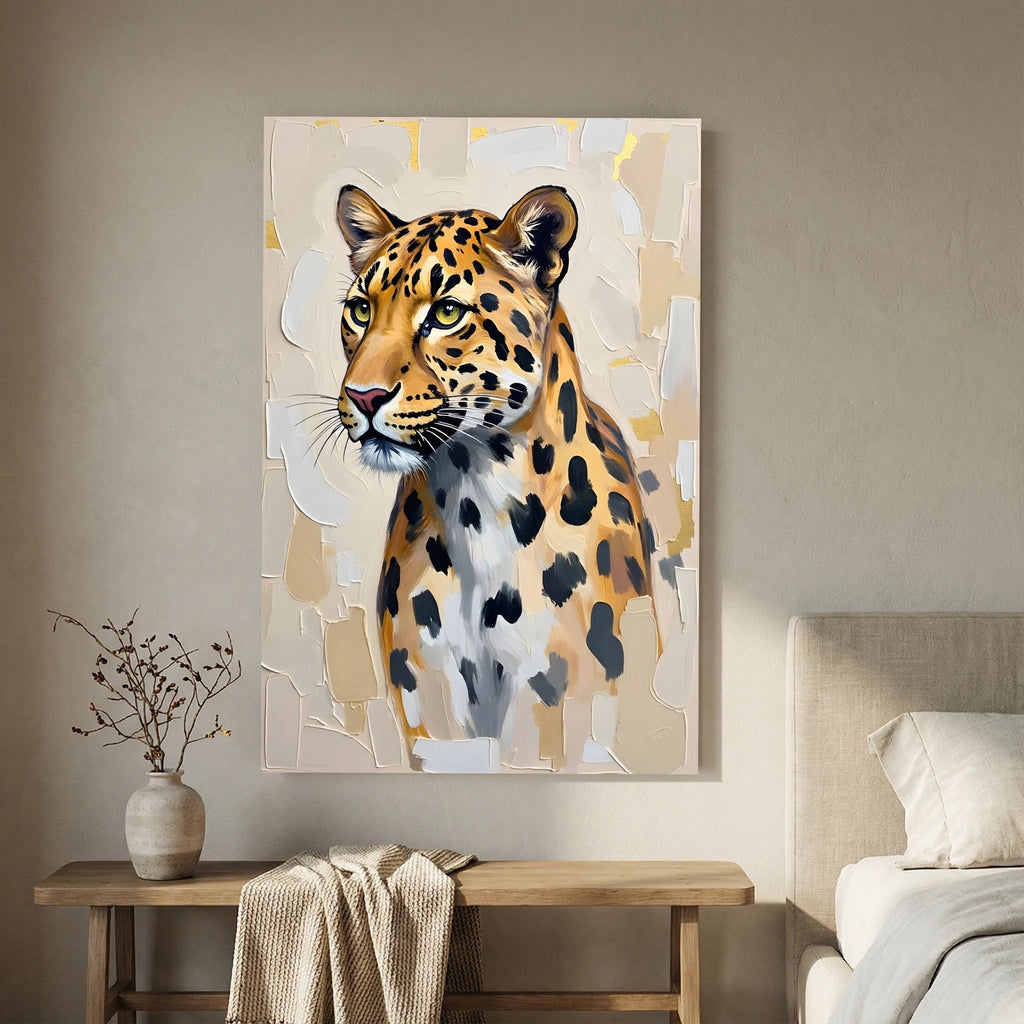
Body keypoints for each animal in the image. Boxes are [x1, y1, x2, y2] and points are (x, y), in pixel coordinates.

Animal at [333, 183, 658, 769]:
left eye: (445, 312)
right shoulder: (430, 704)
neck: (473, 497)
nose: (363, 396)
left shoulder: (556, 702)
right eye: (361, 309)